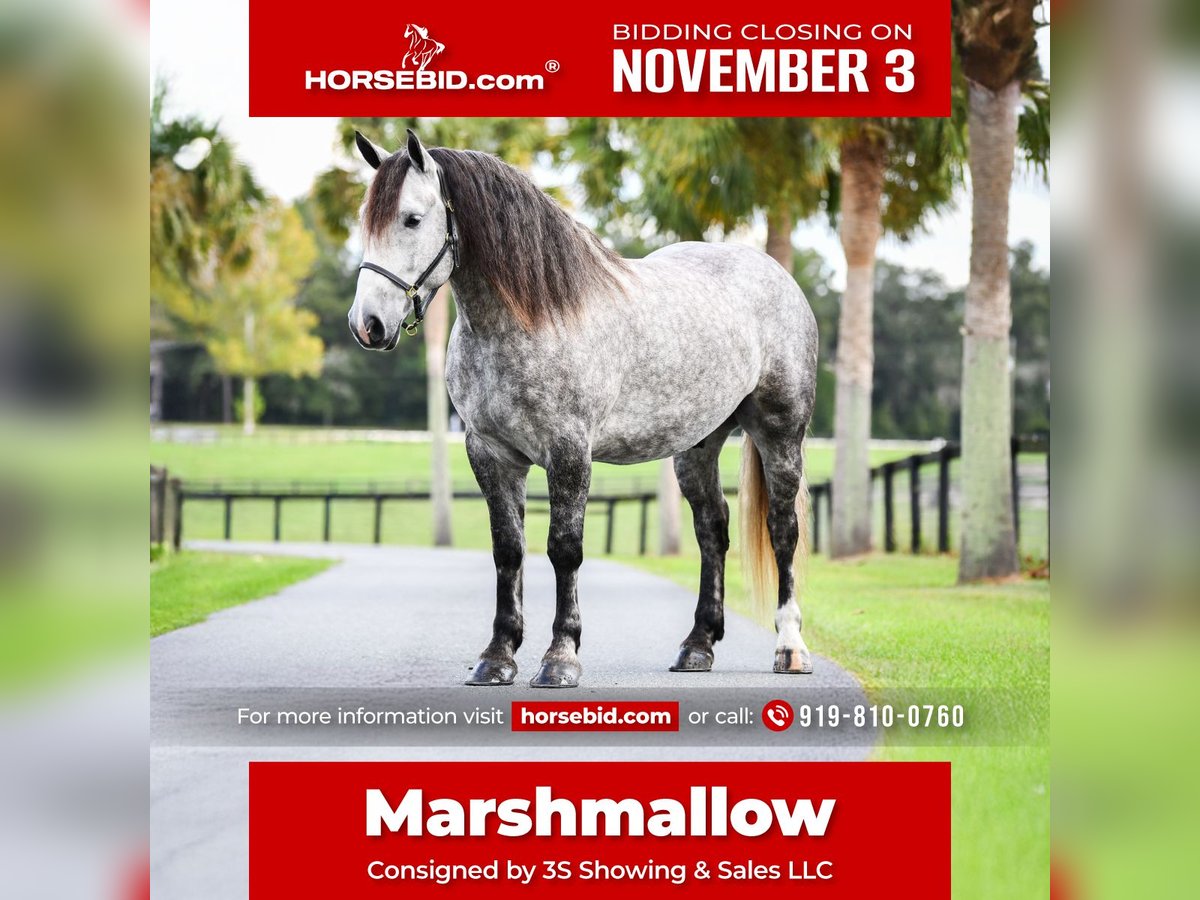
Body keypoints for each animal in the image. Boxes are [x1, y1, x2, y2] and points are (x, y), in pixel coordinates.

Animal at [348, 129, 819, 689]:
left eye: (412, 219)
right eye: (366, 219)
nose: (367, 324)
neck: (533, 315)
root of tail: (777, 276)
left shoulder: (569, 452)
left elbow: (563, 549)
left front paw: (560, 658)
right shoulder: (490, 453)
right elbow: (508, 549)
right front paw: (497, 656)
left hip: (779, 433)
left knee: (783, 530)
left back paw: (790, 647)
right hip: (697, 445)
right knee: (713, 529)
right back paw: (697, 645)